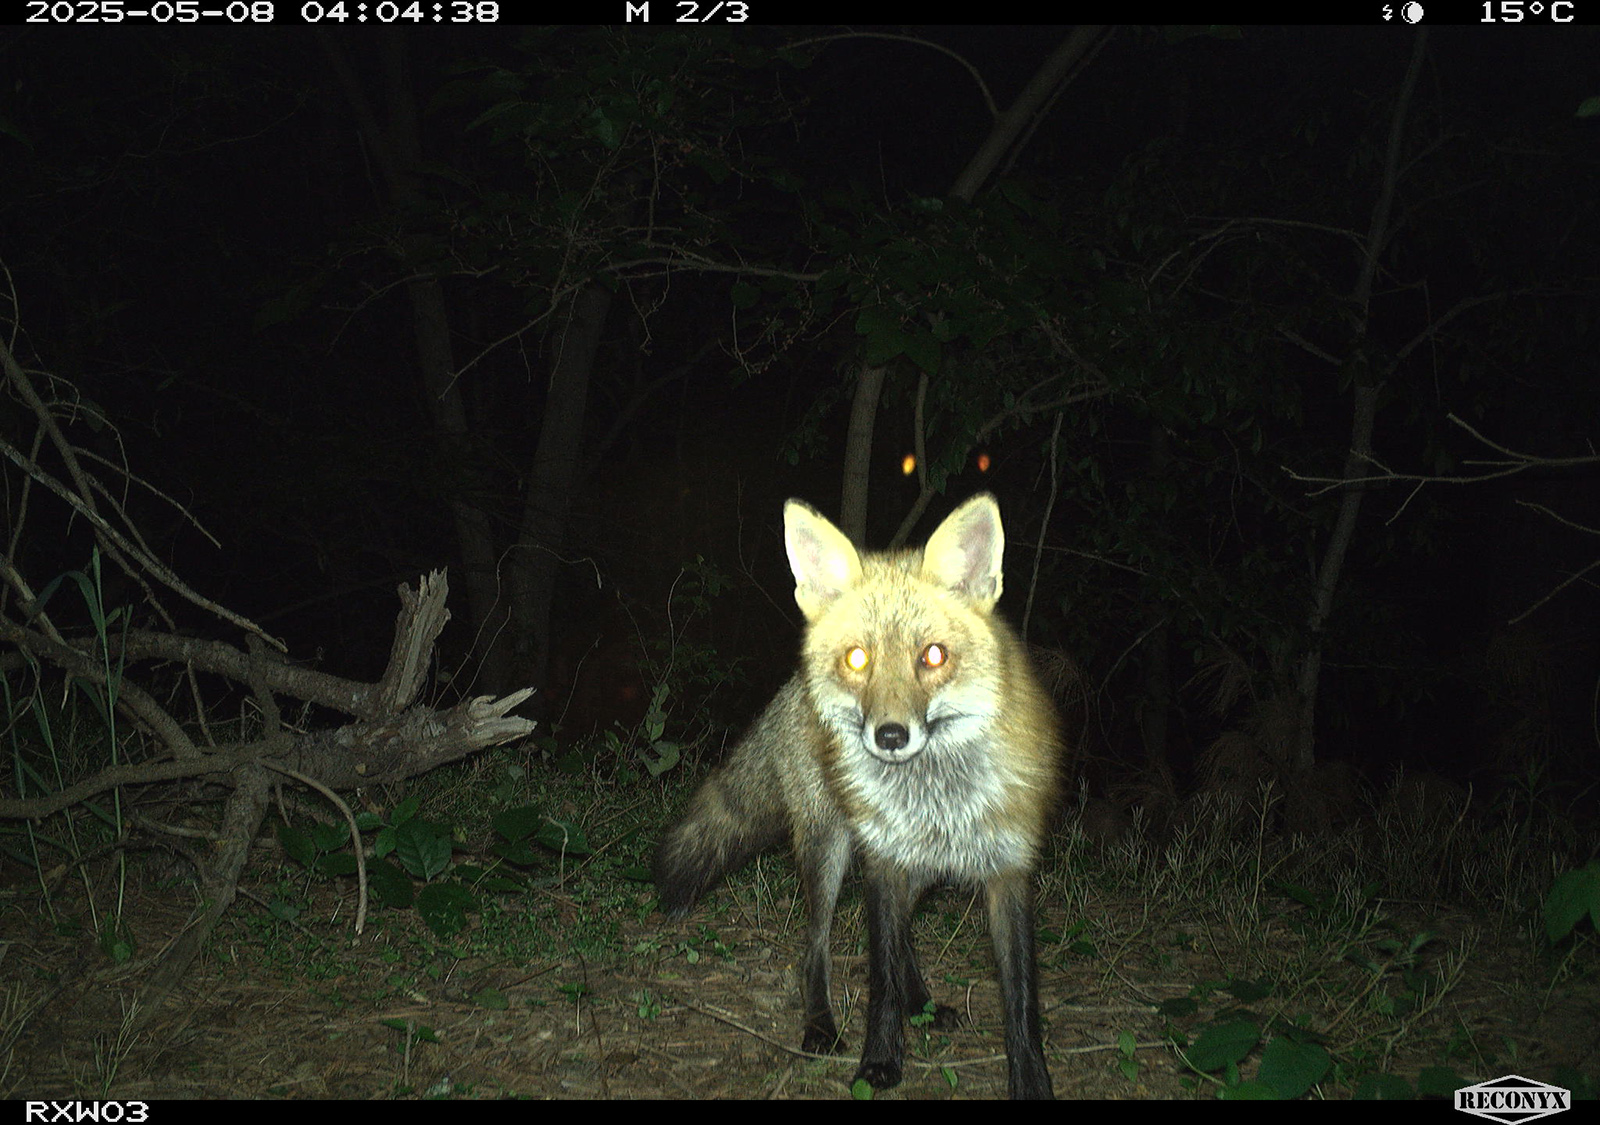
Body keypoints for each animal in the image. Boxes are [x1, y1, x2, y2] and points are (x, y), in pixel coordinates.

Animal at [655, 493, 1062, 1100]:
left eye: (934, 656)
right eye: (857, 659)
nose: (890, 735)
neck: (935, 798)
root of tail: (793, 686)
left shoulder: (1007, 870)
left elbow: (1021, 1000)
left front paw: (1031, 1080)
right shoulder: (885, 865)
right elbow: (880, 980)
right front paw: (880, 1062)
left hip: (913, 870)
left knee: (905, 939)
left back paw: (923, 1003)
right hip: (830, 850)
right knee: (815, 946)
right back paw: (821, 1023)